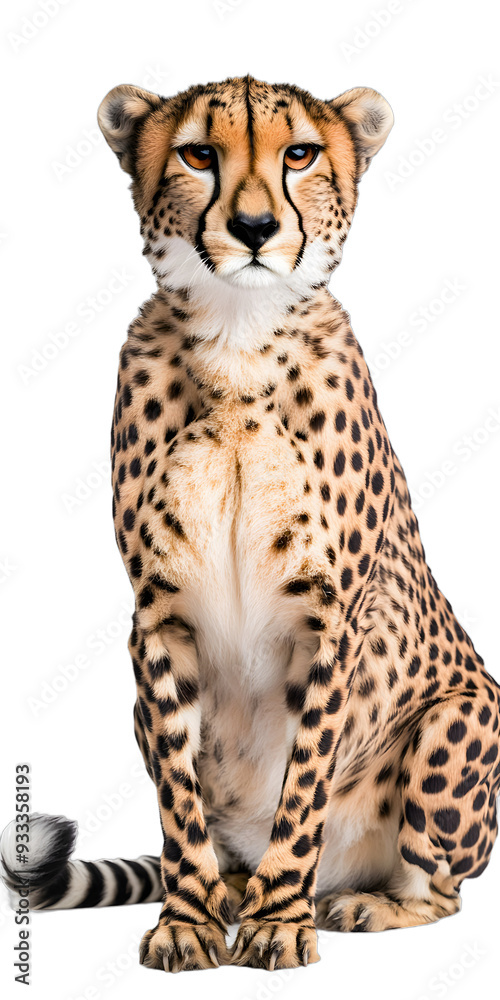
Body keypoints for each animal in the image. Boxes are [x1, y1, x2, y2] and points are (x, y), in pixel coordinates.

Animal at [2, 75, 499, 974]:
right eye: (199, 153)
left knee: (442, 889)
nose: (256, 228)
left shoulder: (331, 621)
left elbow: (302, 788)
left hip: (464, 714)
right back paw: (232, 888)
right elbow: (178, 794)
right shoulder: (157, 620)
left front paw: (279, 920)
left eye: (299, 153)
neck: (238, 339)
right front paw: (192, 920)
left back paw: (360, 902)